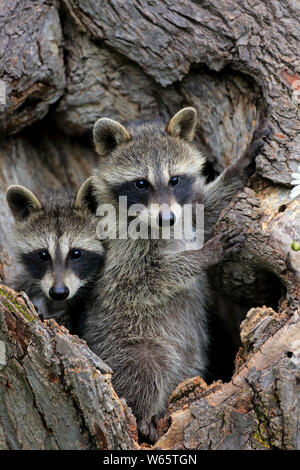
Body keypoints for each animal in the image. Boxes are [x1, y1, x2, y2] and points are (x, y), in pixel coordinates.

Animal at [81, 108, 272, 442]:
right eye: (140, 183)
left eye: (175, 179)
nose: (167, 218)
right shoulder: (121, 248)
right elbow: (141, 281)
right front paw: (201, 255)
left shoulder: (187, 210)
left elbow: (208, 206)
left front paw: (243, 163)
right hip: (126, 342)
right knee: (143, 372)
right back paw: (144, 416)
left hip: (189, 363)